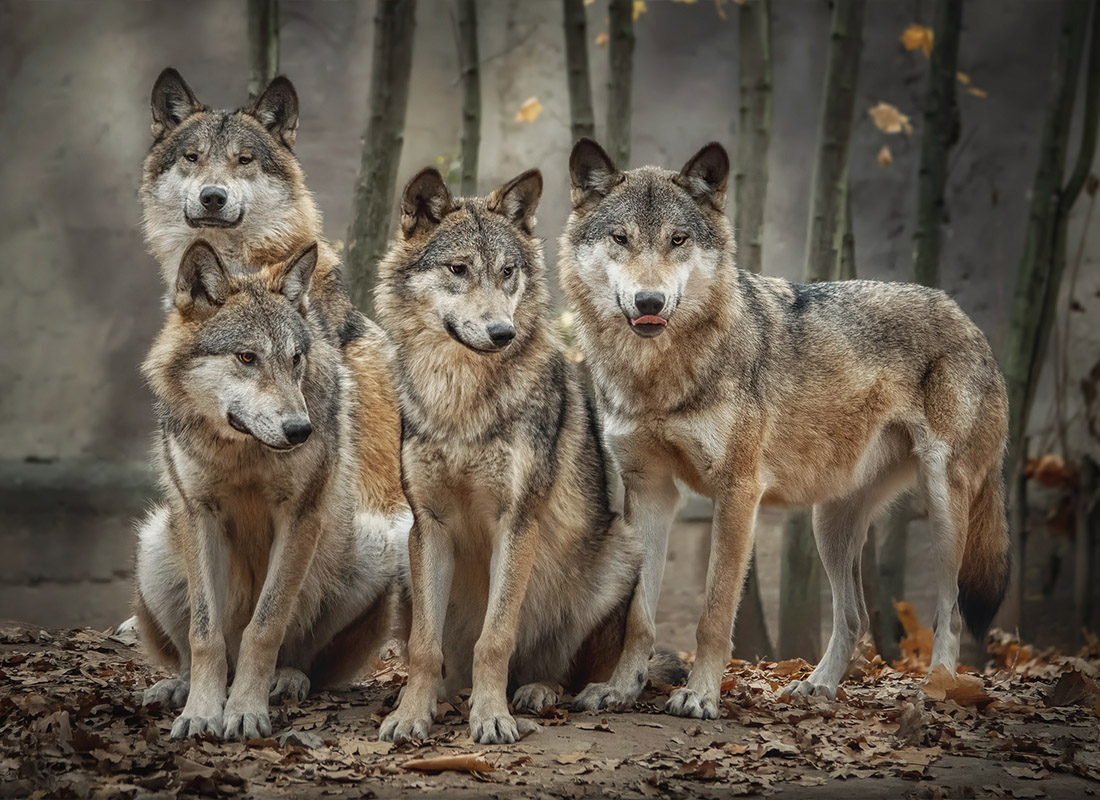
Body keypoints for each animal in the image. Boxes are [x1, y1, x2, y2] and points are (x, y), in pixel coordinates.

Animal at [134, 240, 410, 740]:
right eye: (247, 357)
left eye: (295, 358)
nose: (300, 429)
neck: (243, 452)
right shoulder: (197, 514)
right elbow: (204, 634)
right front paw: (201, 713)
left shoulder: (300, 516)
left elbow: (265, 627)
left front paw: (245, 710)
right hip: (154, 544)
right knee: (195, 650)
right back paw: (178, 687)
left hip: (373, 545)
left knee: (301, 658)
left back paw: (286, 681)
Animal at [374, 167, 684, 745]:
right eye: (458, 269)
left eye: (507, 272)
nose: (503, 332)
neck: (462, 402)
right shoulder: (428, 524)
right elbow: (423, 647)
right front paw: (410, 715)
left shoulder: (517, 521)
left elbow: (495, 639)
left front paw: (492, 718)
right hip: (403, 560)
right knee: (447, 658)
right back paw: (449, 696)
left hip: (618, 554)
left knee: (556, 667)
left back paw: (536, 692)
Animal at [558, 138, 1011, 719]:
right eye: (621, 238)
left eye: (678, 240)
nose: (649, 302)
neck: (657, 374)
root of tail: (967, 318)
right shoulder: (651, 491)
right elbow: (638, 615)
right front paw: (620, 690)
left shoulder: (737, 492)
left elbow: (713, 613)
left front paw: (700, 696)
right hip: (830, 522)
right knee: (854, 616)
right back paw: (818, 686)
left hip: (944, 507)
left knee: (948, 612)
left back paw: (938, 688)